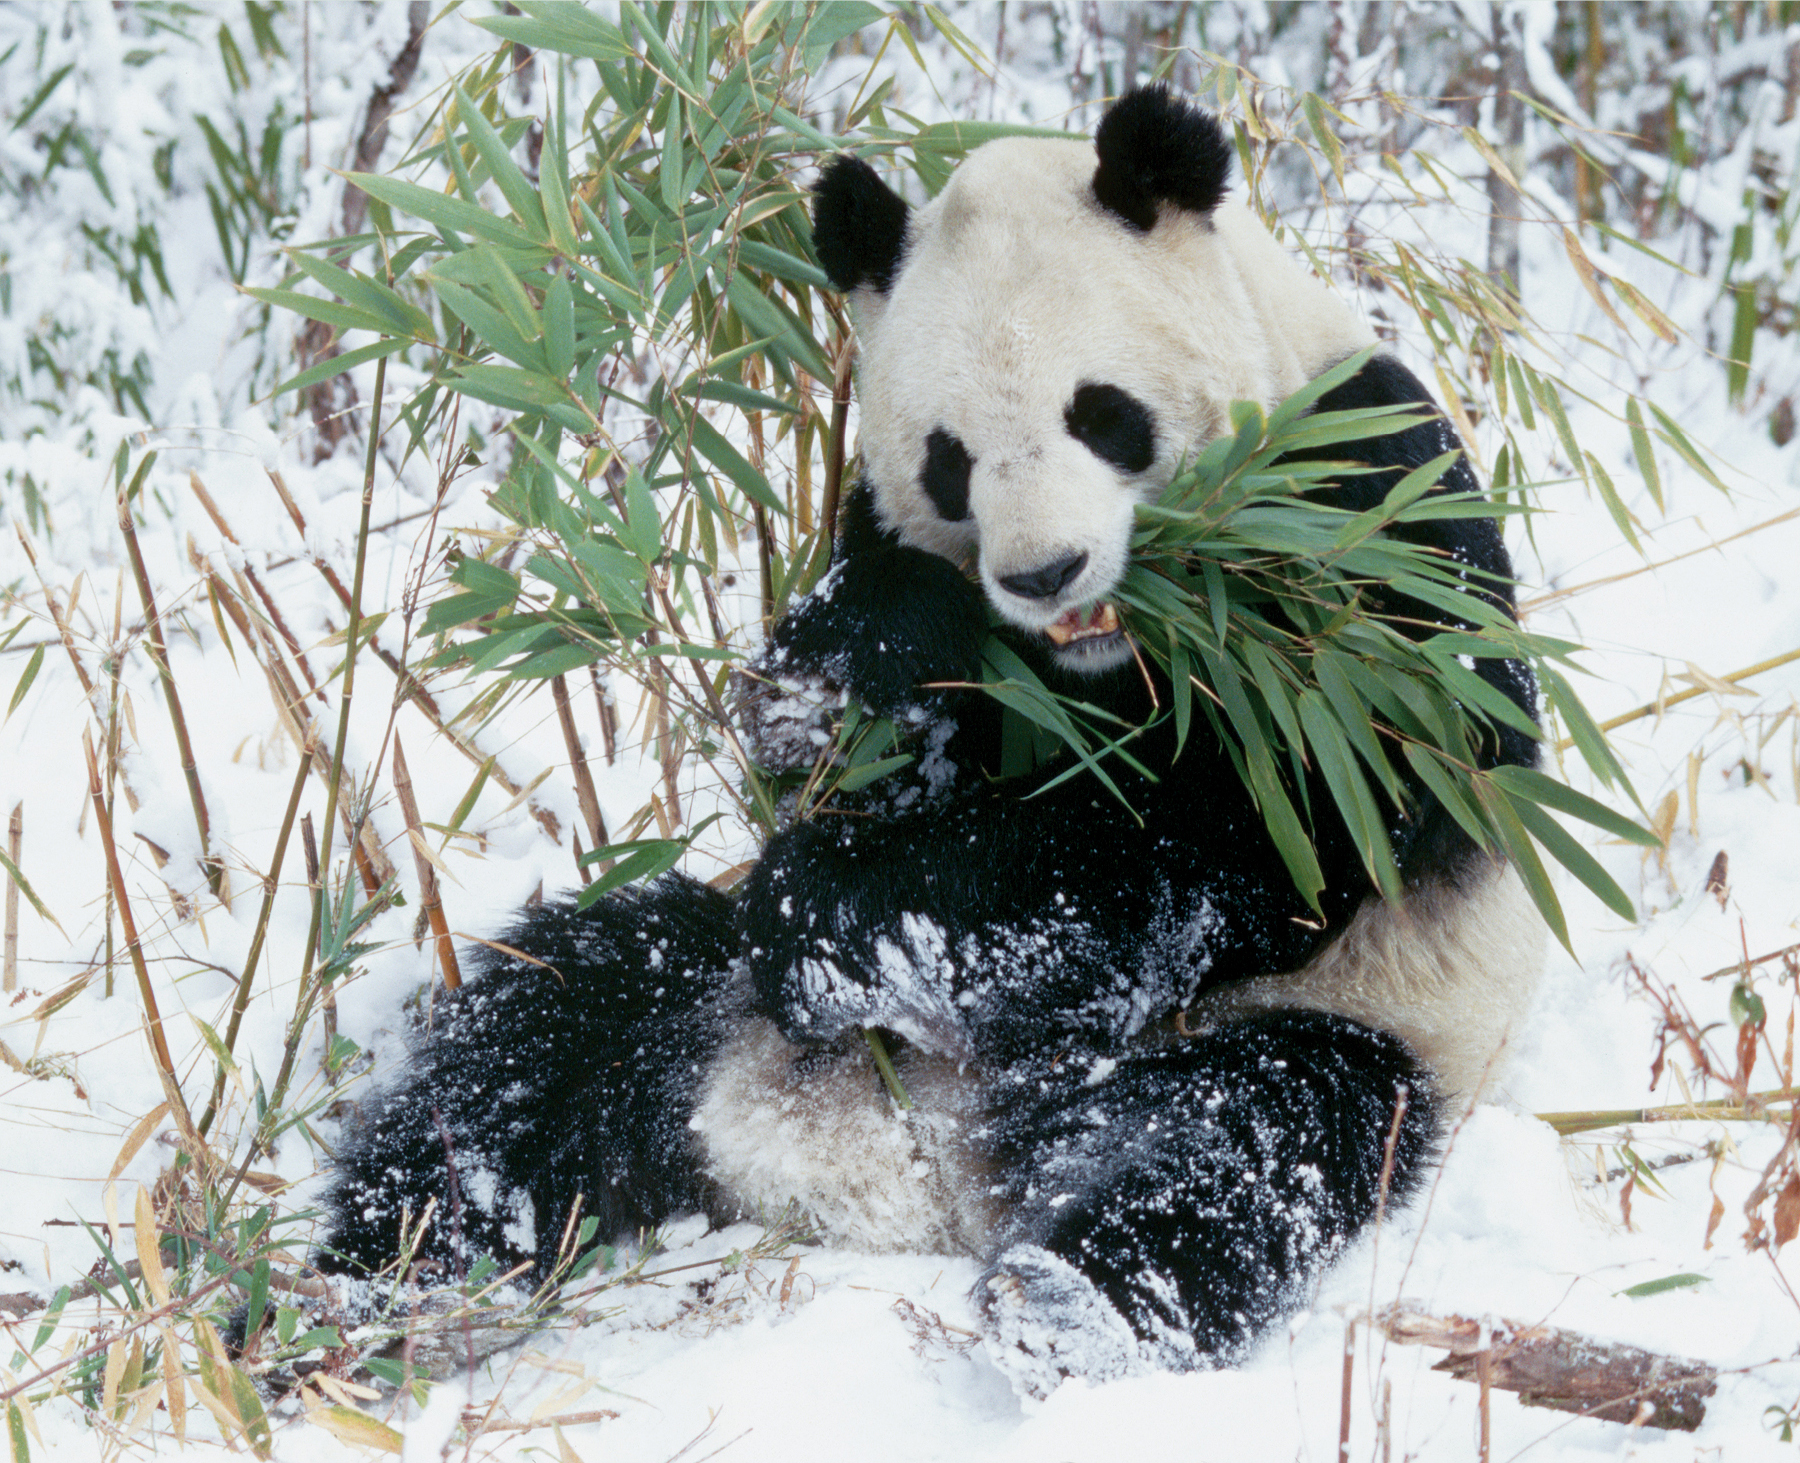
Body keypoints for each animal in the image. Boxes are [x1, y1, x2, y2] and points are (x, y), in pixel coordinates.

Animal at [320, 85, 1548, 1389]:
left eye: (1101, 415)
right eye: (950, 459)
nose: (1045, 571)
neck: (1112, 647)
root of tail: (902, 1177)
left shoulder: (1365, 517)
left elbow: (1294, 815)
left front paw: (845, 907)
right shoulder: (888, 541)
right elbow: (857, 732)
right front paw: (835, 702)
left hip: (1325, 1018)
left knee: (1238, 1138)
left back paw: (1065, 1306)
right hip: (697, 992)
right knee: (538, 1035)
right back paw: (370, 1288)